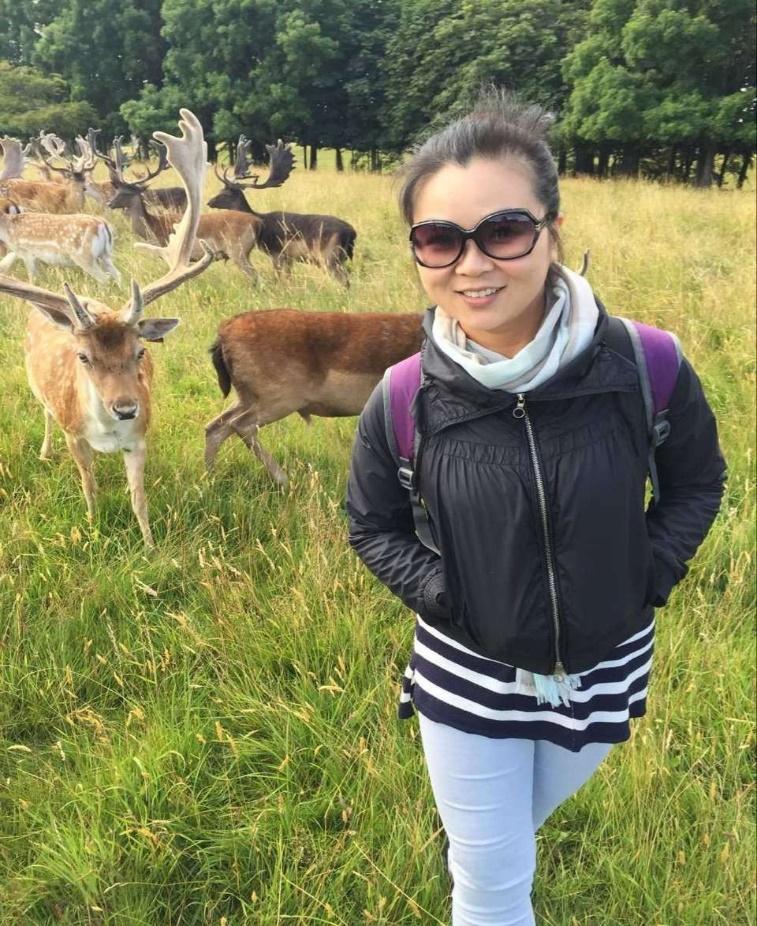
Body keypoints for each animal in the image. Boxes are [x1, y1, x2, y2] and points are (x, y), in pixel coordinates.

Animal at [0, 109, 213, 548]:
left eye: (141, 351)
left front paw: (150, 545)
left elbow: (139, 498)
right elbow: (89, 486)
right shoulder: (74, 435)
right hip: (34, 382)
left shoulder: (140, 439)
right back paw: (44, 452)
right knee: (43, 412)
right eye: (83, 356)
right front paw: (94, 529)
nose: (126, 407)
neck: (107, 434)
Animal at [204, 309, 424, 485]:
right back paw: (283, 479)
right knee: (239, 424)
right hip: (279, 396)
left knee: (215, 426)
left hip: (247, 396)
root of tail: (223, 335)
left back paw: (211, 477)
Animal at [207, 138, 357, 285]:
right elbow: (288, 277)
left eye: (226, 193)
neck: (262, 223)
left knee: (344, 281)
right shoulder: (288, 258)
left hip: (329, 255)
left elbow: (278, 278)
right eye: (220, 190)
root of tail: (352, 233)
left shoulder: (276, 252)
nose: (209, 202)